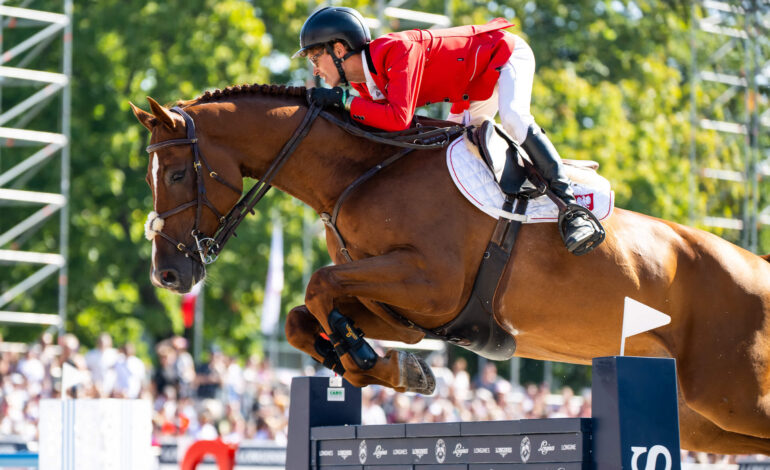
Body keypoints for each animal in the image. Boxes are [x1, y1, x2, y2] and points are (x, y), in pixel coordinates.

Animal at [132, 84, 768, 456]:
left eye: (180, 175)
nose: (168, 276)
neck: (364, 171)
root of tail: (757, 266)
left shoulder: (428, 284)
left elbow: (318, 285)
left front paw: (370, 361)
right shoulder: (407, 310)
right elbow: (303, 314)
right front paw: (384, 367)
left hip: (732, 395)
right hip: (705, 418)